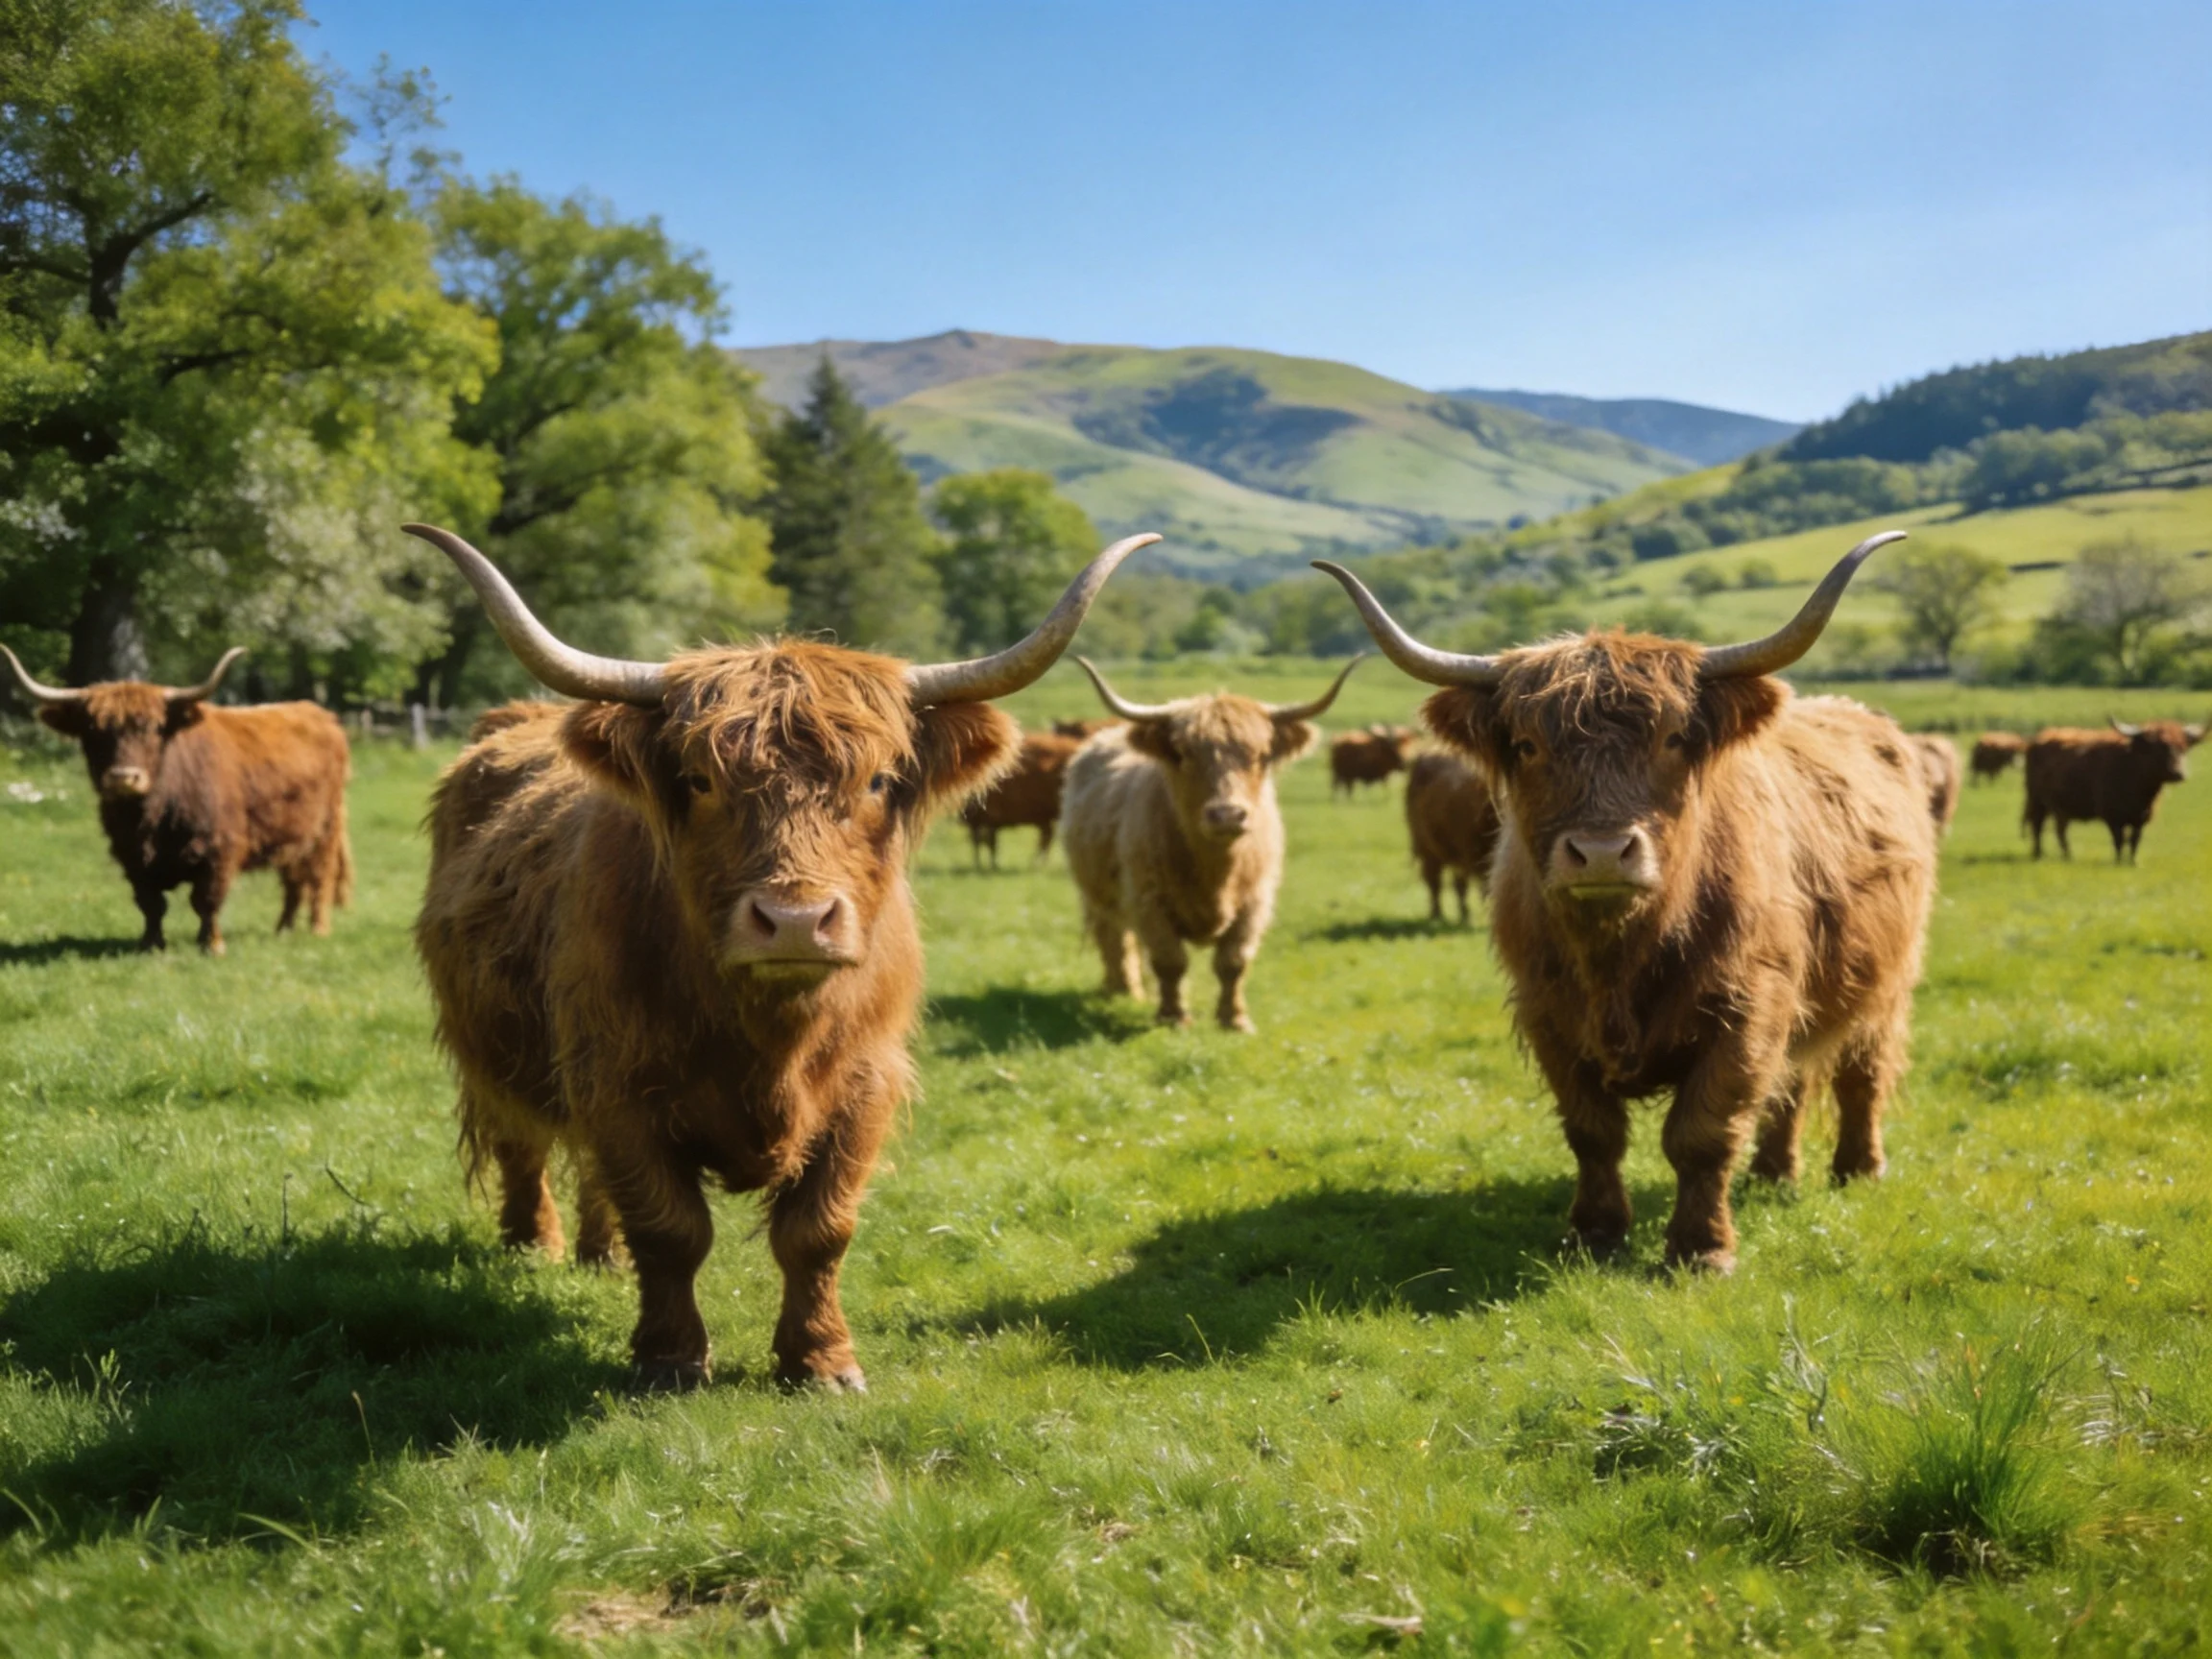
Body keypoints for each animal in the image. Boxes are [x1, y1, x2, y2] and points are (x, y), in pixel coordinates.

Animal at [4, 647, 352, 954]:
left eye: (155, 728)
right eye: (93, 731)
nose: (123, 777)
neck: (151, 819)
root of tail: (318, 713)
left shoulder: (219, 850)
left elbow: (206, 901)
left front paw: (212, 945)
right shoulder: (132, 857)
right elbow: (151, 904)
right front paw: (151, 944)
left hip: (325, 829)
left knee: (319, 877)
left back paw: (318, 929)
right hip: (291, 836)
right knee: (293, 882)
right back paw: (283, 930)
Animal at [961, 730, 1083, 867]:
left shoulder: (986, 817)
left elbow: (988, 843)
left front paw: (988, 864)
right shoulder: (983, 820)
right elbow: (984, 842)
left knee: (1046, 837)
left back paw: (1037, 862)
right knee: (1047, 837)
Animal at [1059, 656, 1360, 1032]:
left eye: (1261, 755)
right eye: (1183, 754)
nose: (1227, 814)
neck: (1216, 873)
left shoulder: (1255, 901)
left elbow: (1233, 961)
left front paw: (1235, 1020)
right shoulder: (1148, 899)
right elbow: (1170, 960)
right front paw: (1174, 1017)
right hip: (1096, 893)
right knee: (1113, 937)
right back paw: (1123, 989)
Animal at [2023, 718, 2203, 863]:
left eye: (2182, 747)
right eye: (2157, 747)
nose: (2178, 773)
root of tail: (2040, 738)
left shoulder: (2141, 817)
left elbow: (2134, 840)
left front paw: (2133, 862)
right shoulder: (2112, 815)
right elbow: (2119, 840)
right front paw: (2118, 861)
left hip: (2062, 808)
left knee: (2060, 830)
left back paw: (2067, 856)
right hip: (2037, 800)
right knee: (2037, 825)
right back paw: (2038, 854)